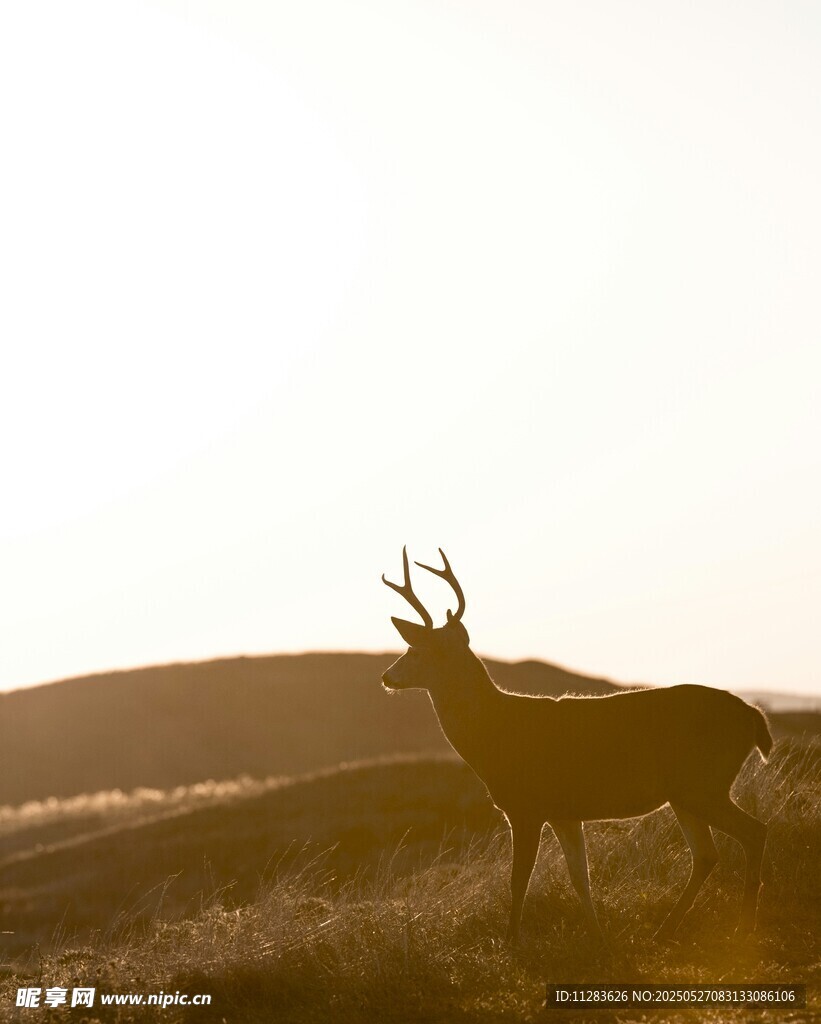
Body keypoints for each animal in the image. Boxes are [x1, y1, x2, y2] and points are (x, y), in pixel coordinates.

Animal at [381, 547, 772, 945]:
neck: (495, 731)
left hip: (703, 783)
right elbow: (579, 877)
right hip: (686, 792)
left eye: (415, 650)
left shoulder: (526, 806)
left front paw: (511, 942)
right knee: (707, 854)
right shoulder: (564, 813)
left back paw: (744, 926)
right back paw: (665, 930)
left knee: (754, 832)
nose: (386, 676)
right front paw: (598, 937)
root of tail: (753, 715)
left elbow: (518, 879)